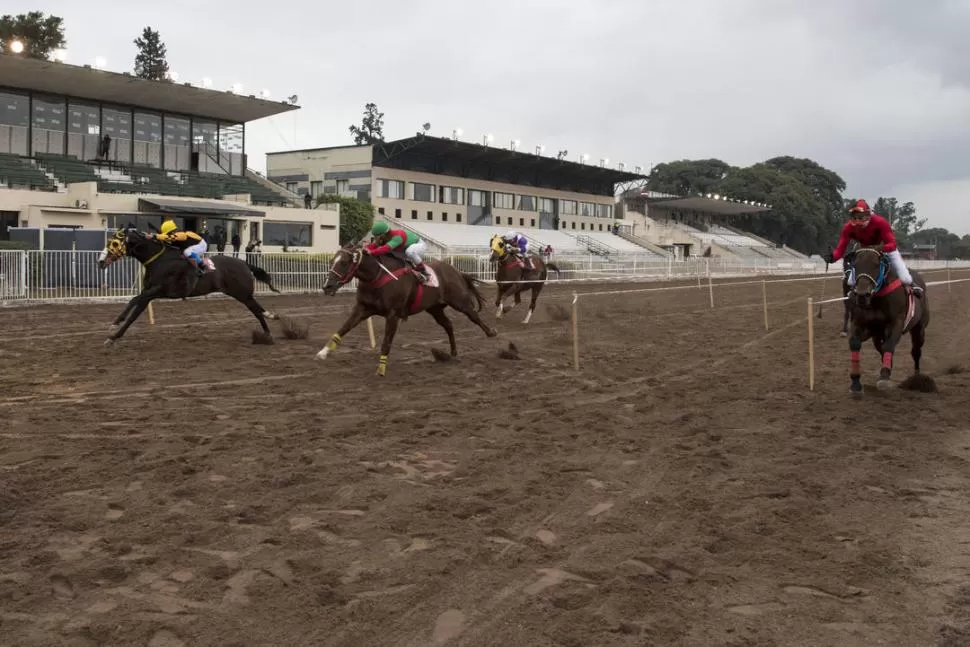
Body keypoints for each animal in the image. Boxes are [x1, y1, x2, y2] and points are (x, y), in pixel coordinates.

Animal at [97, 229, 280, 346]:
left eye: (114, 243)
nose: (100, 261)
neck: (160, 260)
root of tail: (244, 263)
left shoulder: (159, 290)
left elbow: (134, 302)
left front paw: (115, 326)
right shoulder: (149, 293)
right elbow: (133, 310)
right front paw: (113, 333)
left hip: (242, 294)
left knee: (257, 311)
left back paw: (268, 331)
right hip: (241, 294)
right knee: (257, 309)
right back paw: (271, 321)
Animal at [318, 242, 496, 374]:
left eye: (344, 262)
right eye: (332, 261)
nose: (327, 286)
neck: (377, 276)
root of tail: (456, 271)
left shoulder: (393, 314)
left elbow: (386, 343)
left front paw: (381, 369)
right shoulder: (362, 309)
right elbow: (342, 329)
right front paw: (323, 352)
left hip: (459, 301)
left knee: (473, 316)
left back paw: (491, 332)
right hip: (435, 308)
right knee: (448, 324)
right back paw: (452, 352)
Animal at [844, 247, 928, 394]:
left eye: (876, 265)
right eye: (855, 264)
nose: (862, 295)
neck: (876, 299)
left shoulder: (896, 323)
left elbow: (889, 346)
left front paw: (884, 376)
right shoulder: (860, 323)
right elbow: (855, 343)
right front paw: (855, 382)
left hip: (919, 328)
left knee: (916, 351)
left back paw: (917, 378)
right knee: (881, 348)